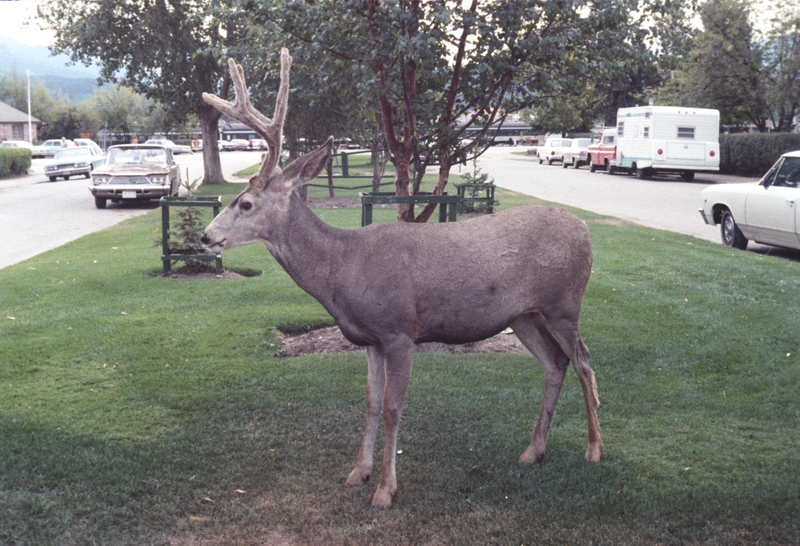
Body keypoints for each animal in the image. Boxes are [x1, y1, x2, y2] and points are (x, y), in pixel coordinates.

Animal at [203, 49, 604, 508]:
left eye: (245, 203)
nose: (206, 236)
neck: (344, 268)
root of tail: (586, 230)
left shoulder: (400, 330)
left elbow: (393, 408)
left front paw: (385, 489)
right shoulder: (370, 339)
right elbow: (370, 403)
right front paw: (357, 472)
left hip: (564, 303)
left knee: (584, 361)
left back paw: (594, 449)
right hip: (525, 315)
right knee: (556, 363)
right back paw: (533, 451)